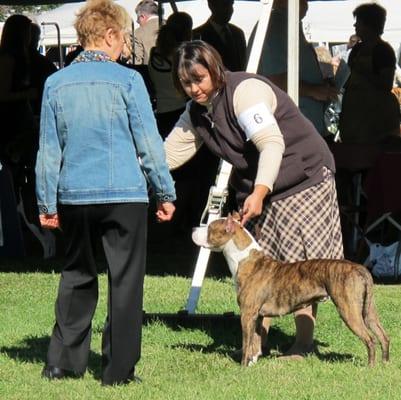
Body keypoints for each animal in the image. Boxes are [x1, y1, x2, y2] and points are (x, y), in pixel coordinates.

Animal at [192, 214, 390, 368]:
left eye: (209, 228)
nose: (193, 227)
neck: (244, 258)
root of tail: (360, 268)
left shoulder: (247, 314)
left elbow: (247, 341)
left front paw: (242, 366)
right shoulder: (257, 316)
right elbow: (255, 341)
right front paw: (252, 361)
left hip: (349, 310)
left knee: (370, 339)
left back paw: (370, 367)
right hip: (368, 311)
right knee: (383, 335)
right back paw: (385, 364)